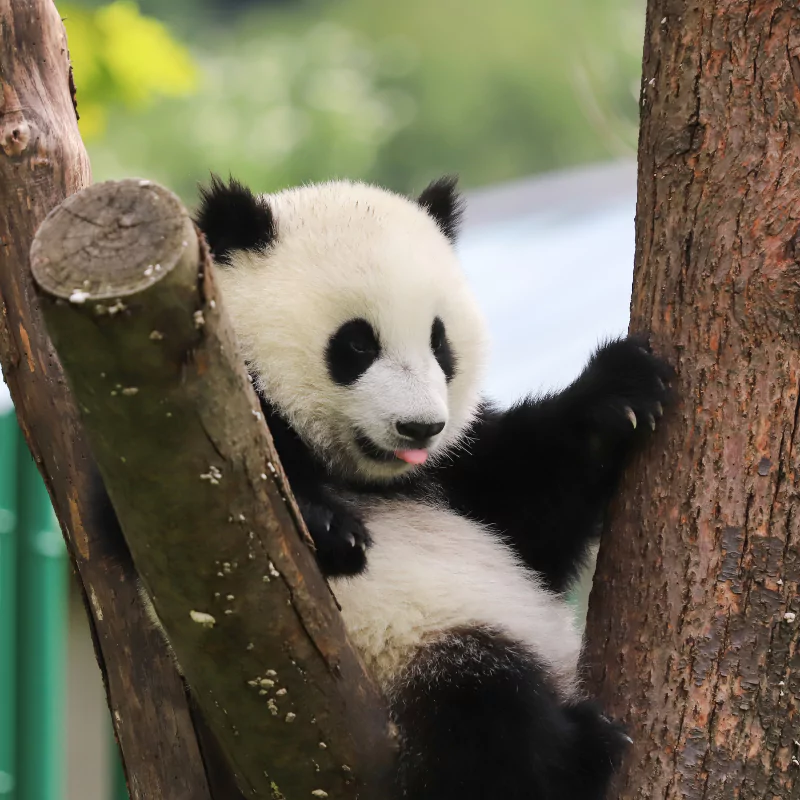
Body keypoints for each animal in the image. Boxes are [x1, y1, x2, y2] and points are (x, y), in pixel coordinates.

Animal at [188, 174, 671, 800]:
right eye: (357, 344)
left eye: (440, 343)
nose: (419, 427)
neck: (363, 473)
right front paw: (330, 527)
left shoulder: (456, 470)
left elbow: (530, 510)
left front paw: (619, 392)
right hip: (409, 651)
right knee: (481, 712)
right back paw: (582, 753)